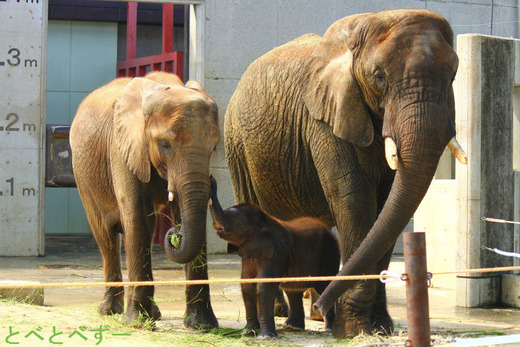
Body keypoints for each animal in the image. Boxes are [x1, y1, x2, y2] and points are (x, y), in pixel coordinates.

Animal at [70, 71, 220, 328]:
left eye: (214, 147)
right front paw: (136, 322)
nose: (174, 234)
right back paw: (110, 311)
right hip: (83, 175)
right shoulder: (122, 149)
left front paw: (202, 325)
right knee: (106, 235)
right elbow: (137, 215)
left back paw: (154, 313)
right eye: (165, 144)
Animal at [209, 177, 340, 340]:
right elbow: (246, 284)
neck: (264, 221)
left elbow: (265, 286)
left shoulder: (277, 253)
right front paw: (248, 332)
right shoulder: (249, 253)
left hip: (329, 254)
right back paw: (292, 327)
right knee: (292, 290)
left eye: (239, 223)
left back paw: (328, 330)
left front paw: (265, 338)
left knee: (323, 286)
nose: (211, 179)